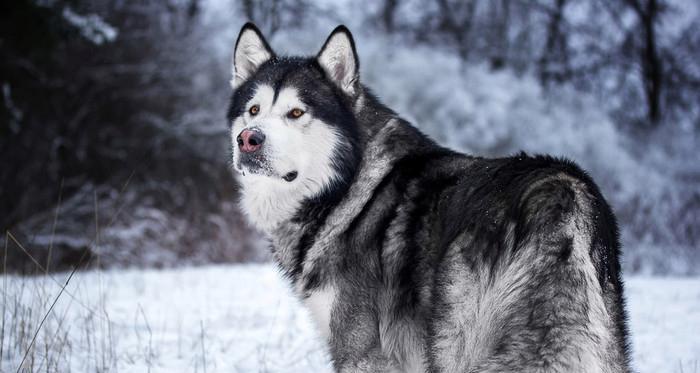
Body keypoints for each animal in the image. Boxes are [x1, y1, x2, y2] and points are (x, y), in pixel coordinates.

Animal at [227, 23, 632, 372]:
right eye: (253, 110)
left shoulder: (362, 353)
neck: (347, 186)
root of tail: (562, 192)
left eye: (296, 112)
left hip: (453, 345)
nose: (249, 139)